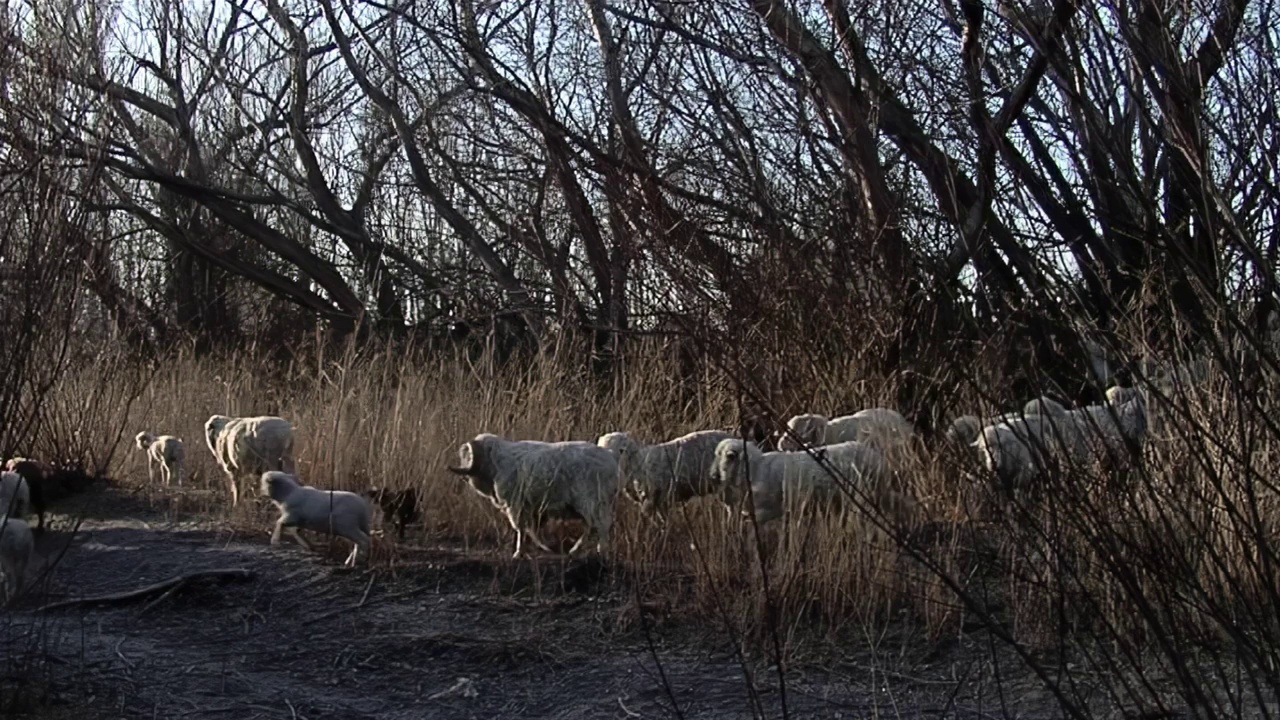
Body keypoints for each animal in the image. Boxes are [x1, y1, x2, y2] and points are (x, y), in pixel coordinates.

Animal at [450, 427, 619, 558]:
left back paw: (601, 552)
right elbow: (529, 528)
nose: (463, 476)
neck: (497, 463)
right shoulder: (530, 508)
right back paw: (575, 550)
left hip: (593, 502)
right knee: (591, 526)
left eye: (468, 456)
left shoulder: (516, 506)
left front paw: (519, 553)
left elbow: (521, 529)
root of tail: (611, 455)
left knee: (602, 525)